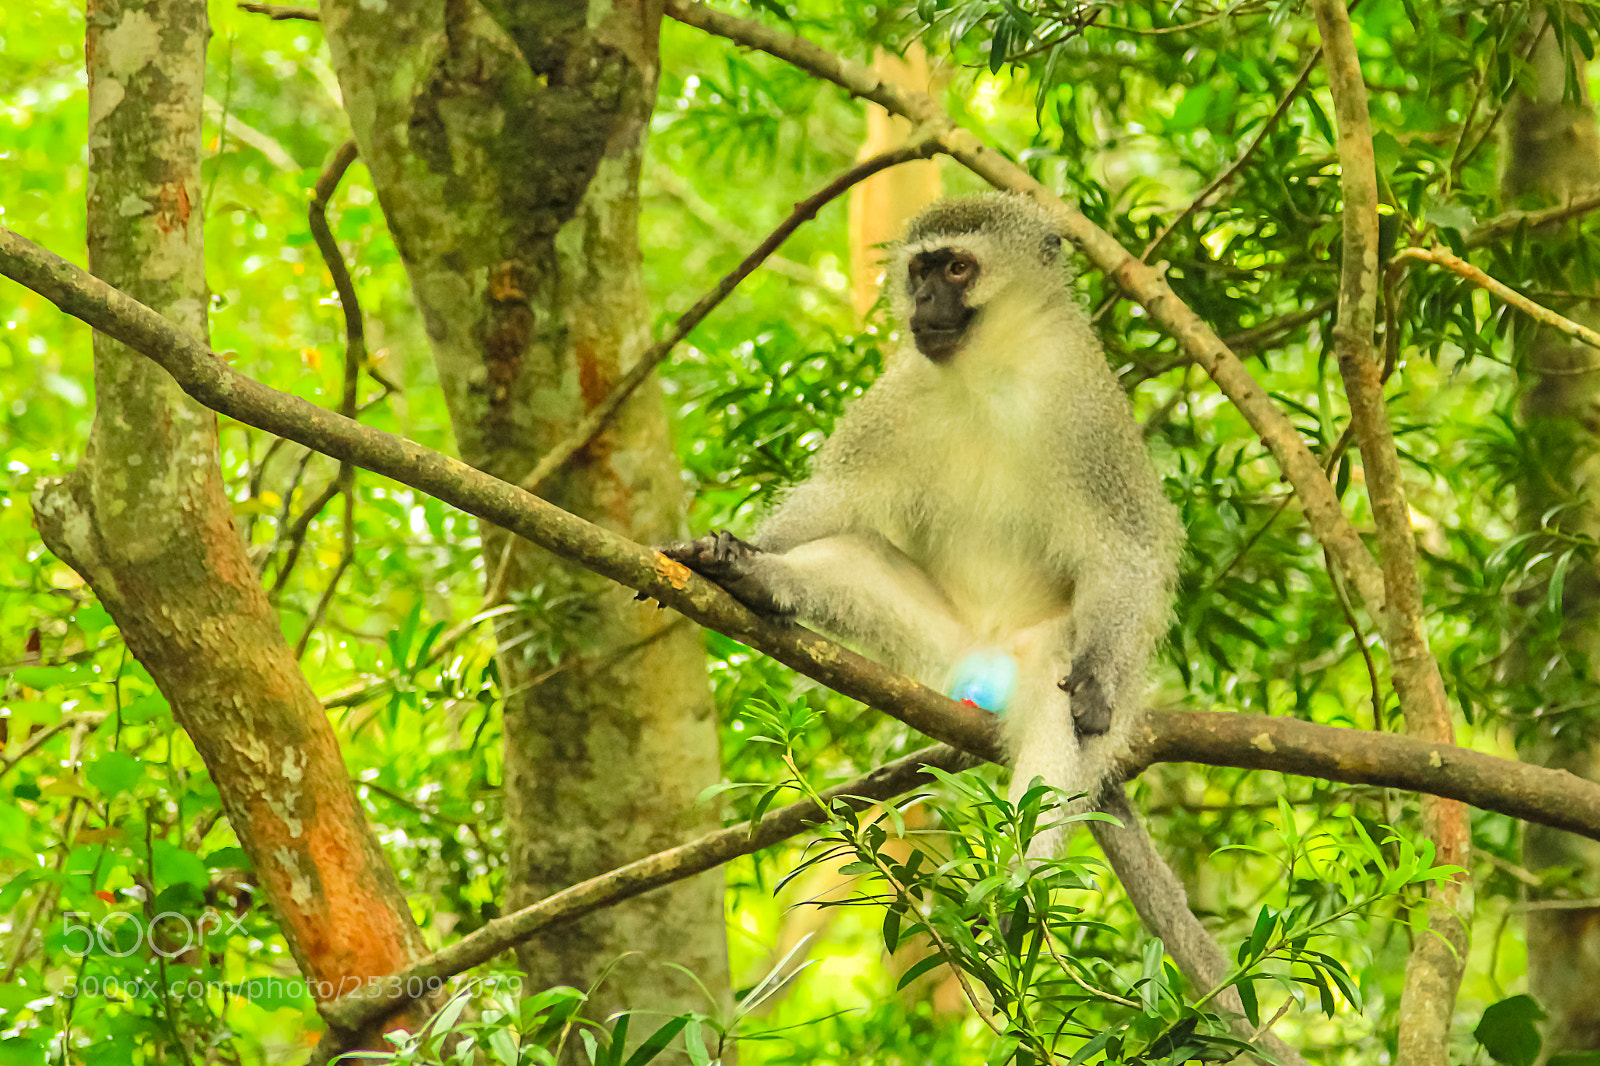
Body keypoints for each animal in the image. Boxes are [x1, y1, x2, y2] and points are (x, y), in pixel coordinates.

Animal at [662, 192, 1183, 836]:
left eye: (958, 269)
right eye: (920, 270)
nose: (926, 301)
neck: (988, 370)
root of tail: (987, 654)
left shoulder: (1088, 410)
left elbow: (1125, 548)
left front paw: (1098, 676)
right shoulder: (900, 394)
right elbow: (835, 495)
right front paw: (737, 550)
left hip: (1038, 649)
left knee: (1056, 709)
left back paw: (1018, 858)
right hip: (941, 641)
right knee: (853, 555)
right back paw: (756, 577)